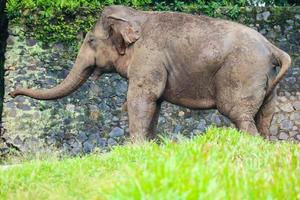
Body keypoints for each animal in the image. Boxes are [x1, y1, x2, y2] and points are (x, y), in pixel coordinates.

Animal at [9, 5, 290, 142]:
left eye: (90, 41)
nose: (11, 93)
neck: (136, 16)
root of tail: (274, 48)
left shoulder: (148, 56)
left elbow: (141, 98)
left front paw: (134, 147)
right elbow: (155, 103)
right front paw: (151, 148)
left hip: (243, 72)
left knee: (238, 114)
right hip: (266, 81)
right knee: (264, 117)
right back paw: (265, 147)